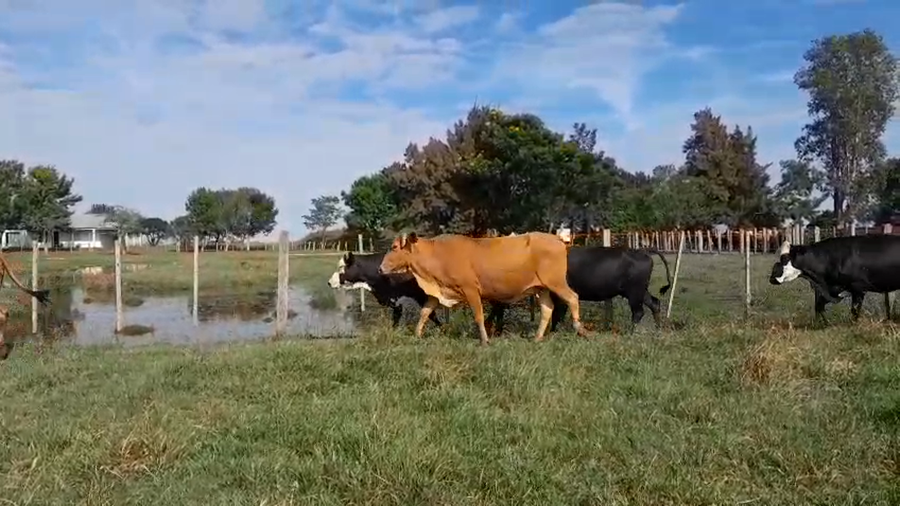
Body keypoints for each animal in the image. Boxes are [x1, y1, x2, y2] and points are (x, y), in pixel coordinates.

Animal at [377, 232, 587, 344]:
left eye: (394, 247)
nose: (380, 267)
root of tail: (557, 239)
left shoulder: (470, 289)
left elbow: (479, 316)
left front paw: (485, 340)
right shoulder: (438, 293)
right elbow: (425, 312)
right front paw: (417, 334)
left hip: (556, 282)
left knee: (572, 297)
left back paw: (580, 328)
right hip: (540, 287)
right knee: (547, 309)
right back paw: (537, 337)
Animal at [488, 244, 674, 336]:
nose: (493, 328)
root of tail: (642, 251)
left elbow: (558, 313)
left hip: (634, 293)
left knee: (638, 312)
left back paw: (631, 333)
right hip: (640, 292)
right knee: (655, 304)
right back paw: (658, 330)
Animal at [769, 235, 900, 323]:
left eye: (785, 258)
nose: (772, 279)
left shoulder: (858, 288)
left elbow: (855, 310)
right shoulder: (835, 289)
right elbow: (818, 306)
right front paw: (822, 324)